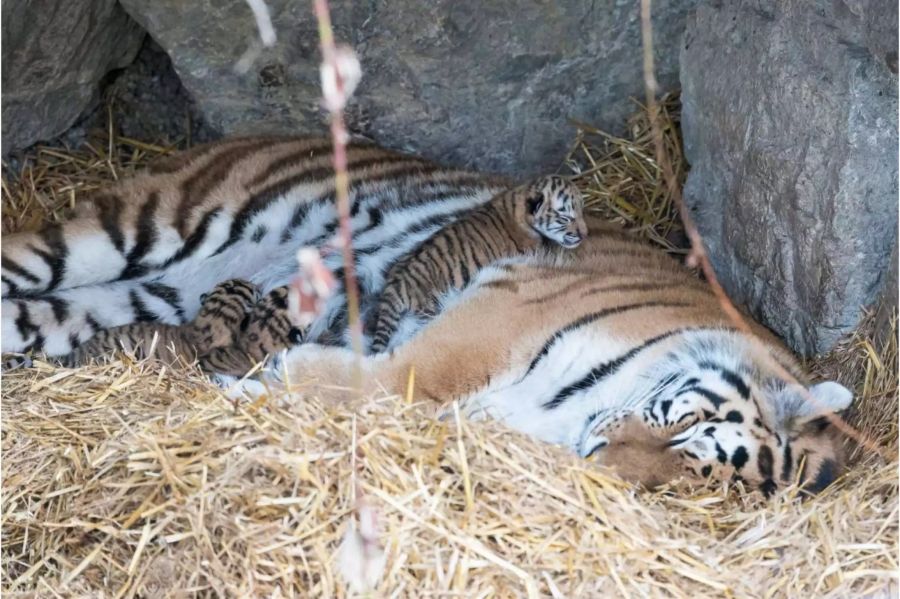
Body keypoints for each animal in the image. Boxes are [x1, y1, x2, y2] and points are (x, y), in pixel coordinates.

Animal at [229, 216, 856, 496]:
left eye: (686, 481)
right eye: (685, 429)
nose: (598, 454)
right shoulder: (495, 320)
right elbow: (404, 379)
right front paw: (276, 373)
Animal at [370, 175, 588, 352]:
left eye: (582, 210)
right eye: (565, 216)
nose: (584, 234)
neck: (520, 197)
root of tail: (394, 284)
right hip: (429, 308)